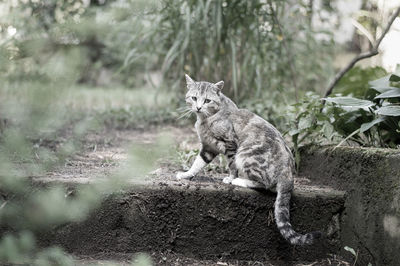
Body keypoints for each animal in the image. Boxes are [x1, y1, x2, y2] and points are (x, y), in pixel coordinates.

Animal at [177, 74, 320, 245]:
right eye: (194, 98)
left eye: (207, 100)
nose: (198, 107)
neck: (207, 118)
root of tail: (288, 175)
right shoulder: (208, 147)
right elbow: (197, 163)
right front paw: (186, 174)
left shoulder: (230, 144)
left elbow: (231, 165)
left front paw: (230, 178)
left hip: (246, 154)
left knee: (264, 184)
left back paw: (239, 181)